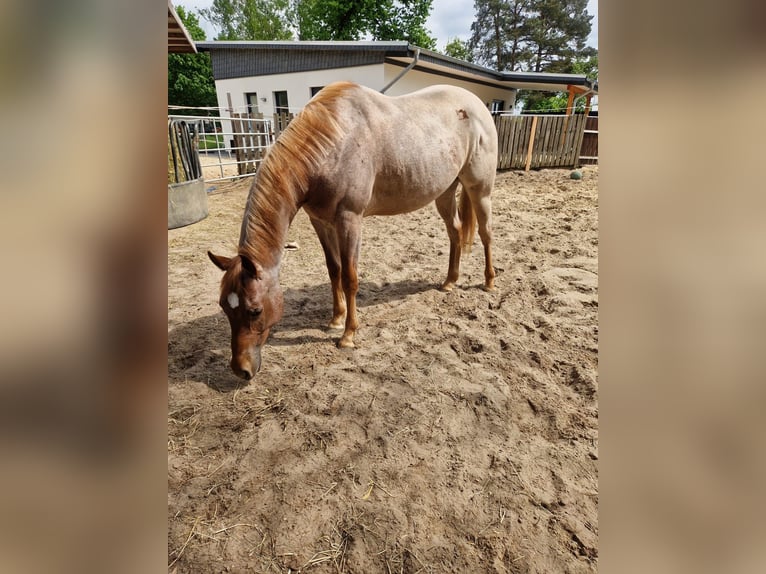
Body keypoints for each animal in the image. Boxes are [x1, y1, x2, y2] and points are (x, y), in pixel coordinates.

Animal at [208, 81, 497, 380]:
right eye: (223, 306)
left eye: (255, 310)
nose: (241, 369)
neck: (332, 143)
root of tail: (477, 105)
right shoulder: (320, 221)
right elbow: (334, 269)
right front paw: (336, 319)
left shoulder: (350, 220)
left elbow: (349, 277)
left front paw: (348, 335)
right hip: (445, 192)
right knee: (455, 232)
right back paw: (450, 281)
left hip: (480, 189)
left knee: (486, 233)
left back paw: (488, 281)